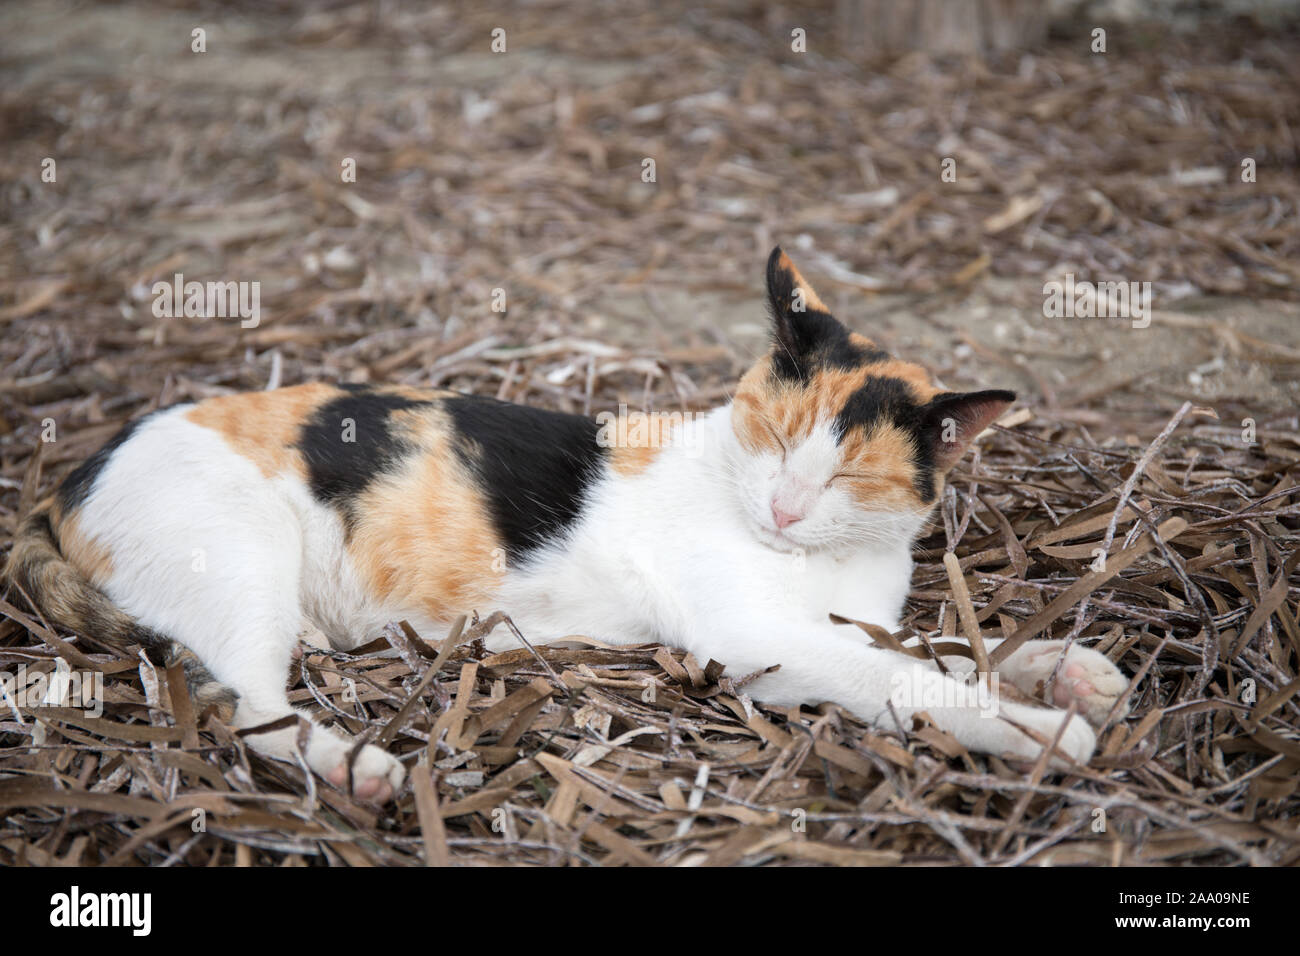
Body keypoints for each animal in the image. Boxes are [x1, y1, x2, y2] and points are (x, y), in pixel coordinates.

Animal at [2, 251, 1128, 806]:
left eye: (849, 470)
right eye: (775, 433)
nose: (783, 506)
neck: (825, 558)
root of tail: (72, 473)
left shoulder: (858, 616)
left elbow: (943, 644)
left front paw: (1068, 672)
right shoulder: (759, 639)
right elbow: (911, 677)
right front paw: (1043, 731)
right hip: (238, 557)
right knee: (244, 707)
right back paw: (356, 769)